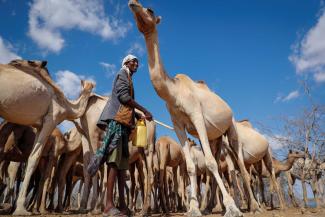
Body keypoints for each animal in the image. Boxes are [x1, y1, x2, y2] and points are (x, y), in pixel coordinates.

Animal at [0, 59, 95, 215]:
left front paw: (35, 208)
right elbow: (35, 160)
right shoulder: (51, 120)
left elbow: (41, 174)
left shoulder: (40, 127)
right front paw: (23, 209)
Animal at [128, 1, 260, 215]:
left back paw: (253, 206)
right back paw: (210, 208)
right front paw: (193, 209)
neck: (174, 93)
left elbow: (211, 163)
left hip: (230, 128)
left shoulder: (197, 117)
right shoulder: (178, 125)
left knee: (238, 163)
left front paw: (232, 208)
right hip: (216, 138)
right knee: (216, 162)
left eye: (150, 10)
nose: (133, 3)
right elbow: (193, 166)